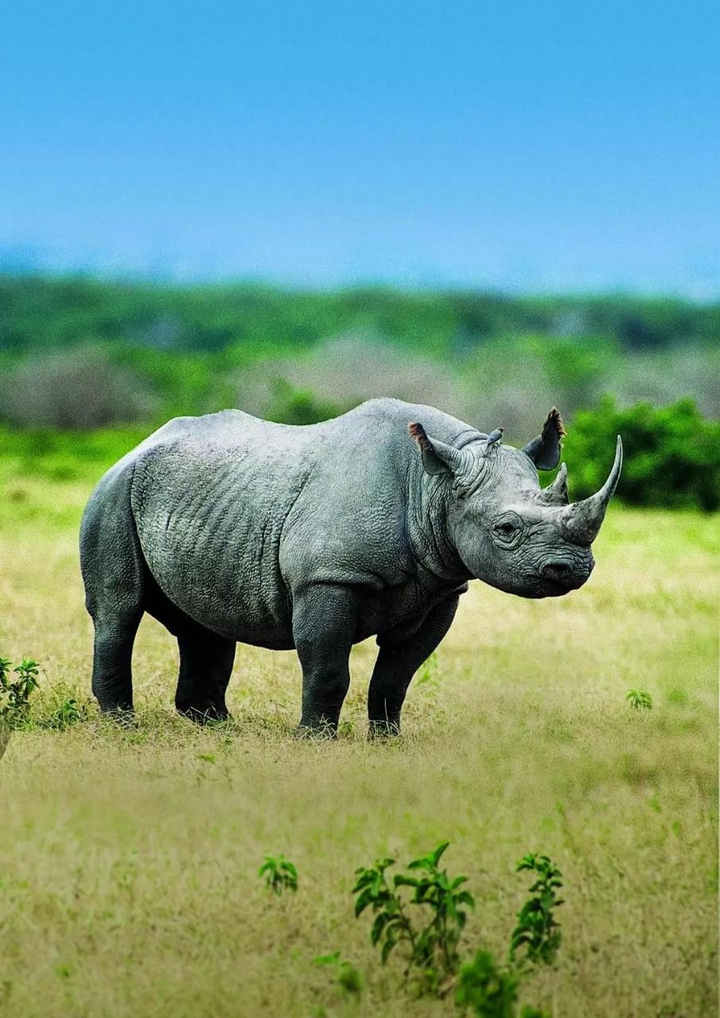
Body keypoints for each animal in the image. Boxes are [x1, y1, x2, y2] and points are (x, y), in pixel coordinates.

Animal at [80, 398, 622, 734]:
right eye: (505, 528)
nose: (571, 570)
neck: (433, 485)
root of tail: (137, 444)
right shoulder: (327, 578)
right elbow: (327, 668)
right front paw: (314, 739)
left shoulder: (441, 588)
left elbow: (397, 674)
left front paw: (387, 740)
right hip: (113, 492)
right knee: (119, 610)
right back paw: (124, 726)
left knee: (204, 622)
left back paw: (216, 727)